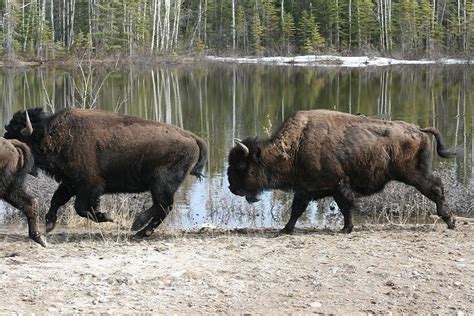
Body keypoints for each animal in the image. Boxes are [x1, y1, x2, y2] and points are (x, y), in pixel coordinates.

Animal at [3, 108, 207, 237]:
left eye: (16, 134)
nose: (5, 145)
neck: (53, 135)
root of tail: (191, 137)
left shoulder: (90, 186)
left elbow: (81, 208)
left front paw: (107, 217)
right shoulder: (70, 183)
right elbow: (57, 200)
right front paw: (50, 225)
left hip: (161, 184)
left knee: (164, 206)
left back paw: (138, 226)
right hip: (160, 186)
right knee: (162, 207)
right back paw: (140, 230)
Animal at [228, 110, 462, 233]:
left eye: (241, 166)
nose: (231, 187)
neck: (294, 147)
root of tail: (419, 130)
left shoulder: (332, 186)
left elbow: (339, 206)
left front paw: (345, 229)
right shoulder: (309, 189)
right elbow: (301, 210)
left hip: (415, 175)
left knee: (436, 188)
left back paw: (450, 221)